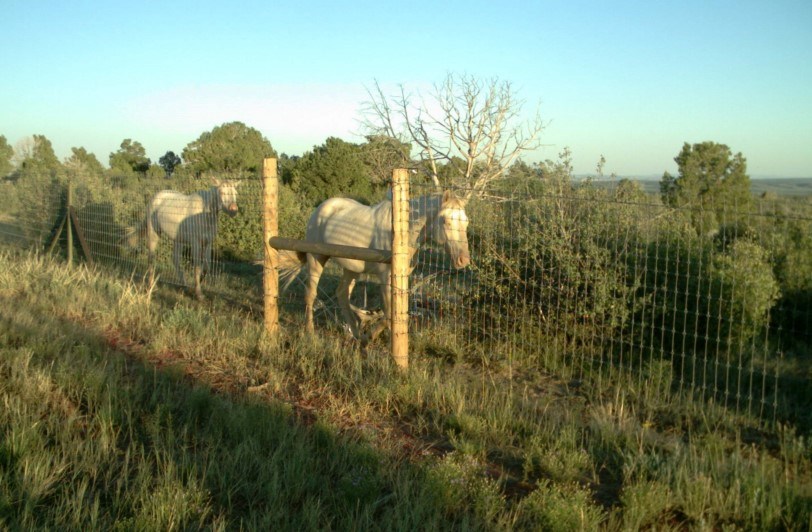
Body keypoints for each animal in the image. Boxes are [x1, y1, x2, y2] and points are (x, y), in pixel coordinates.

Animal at [280, 189, 470, 342]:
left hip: (351, 268)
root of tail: (320, 208)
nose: (463, 260)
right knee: (311, 295)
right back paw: (310, 332)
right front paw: (376, 338)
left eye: (466, 222)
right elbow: (389, 313)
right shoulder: (386, 279)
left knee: (342, 294)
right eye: (446, 221)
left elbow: (398, 312)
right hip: (316, 259)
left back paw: (357, 334)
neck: (402, 233)